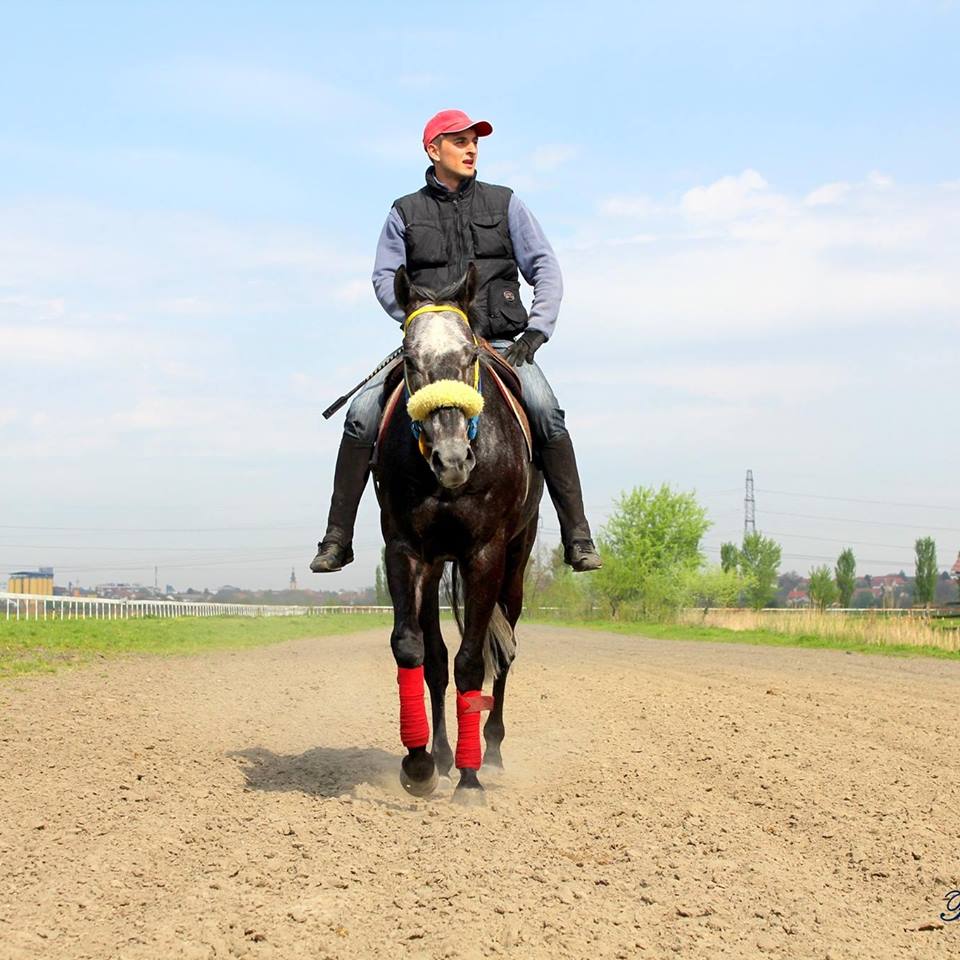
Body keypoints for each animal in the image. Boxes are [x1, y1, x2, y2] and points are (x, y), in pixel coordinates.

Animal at [374, 262, 544, 804]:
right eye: (410, 360)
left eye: (469, 355)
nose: (451, 459)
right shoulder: (407, 550)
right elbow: (414, 649)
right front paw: (420, 763)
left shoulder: (484, 554)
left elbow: (473, 661)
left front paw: (470, 779)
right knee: (436, 658)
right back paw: (444, 757)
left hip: (516, 562)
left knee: (503, 652)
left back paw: (489, 755)